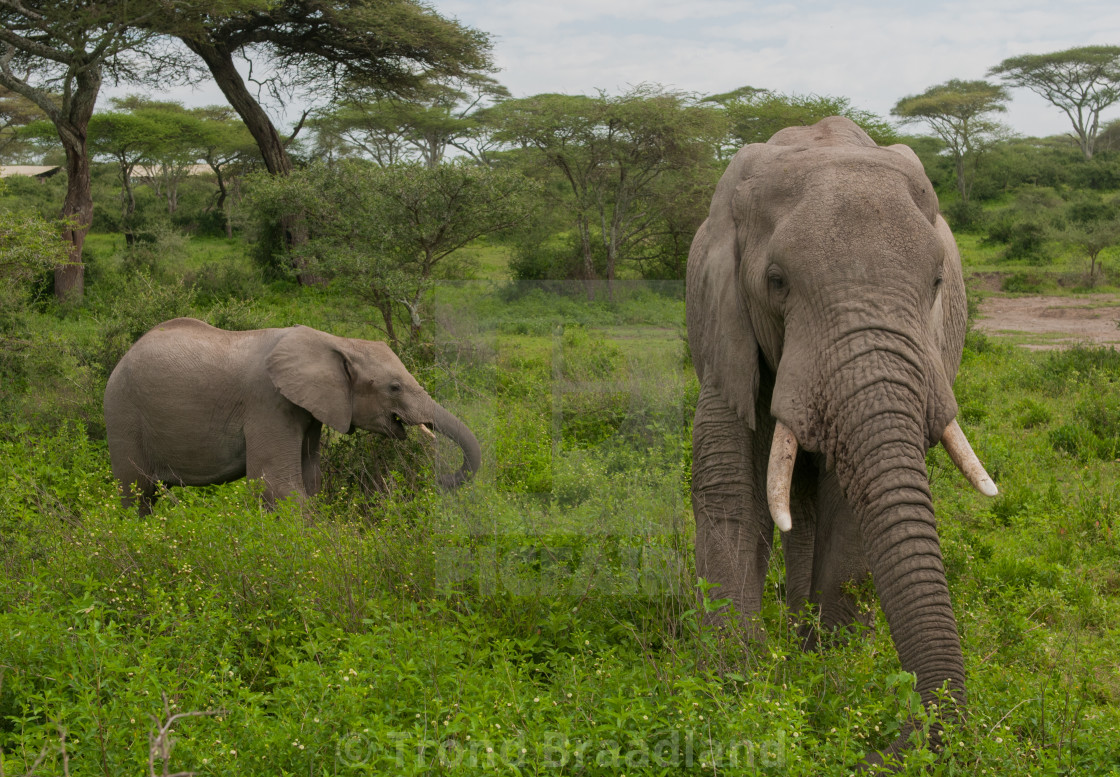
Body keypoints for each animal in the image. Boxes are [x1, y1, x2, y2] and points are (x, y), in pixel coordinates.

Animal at [105, 320, 486, 515]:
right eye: (394, 387)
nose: (439, 479)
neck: (335, 341)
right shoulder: (267, 402)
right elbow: (276, 485)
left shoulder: (308, 411)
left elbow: (311, 480)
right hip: (123, 412)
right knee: (136, 491)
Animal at [685, 115, 994, 765]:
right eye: (776, 282)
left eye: (937, 282)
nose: (880, 749)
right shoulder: (721, 327)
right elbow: (733, 489)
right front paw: (735, 686)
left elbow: (854, 501)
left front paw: (832, 672)